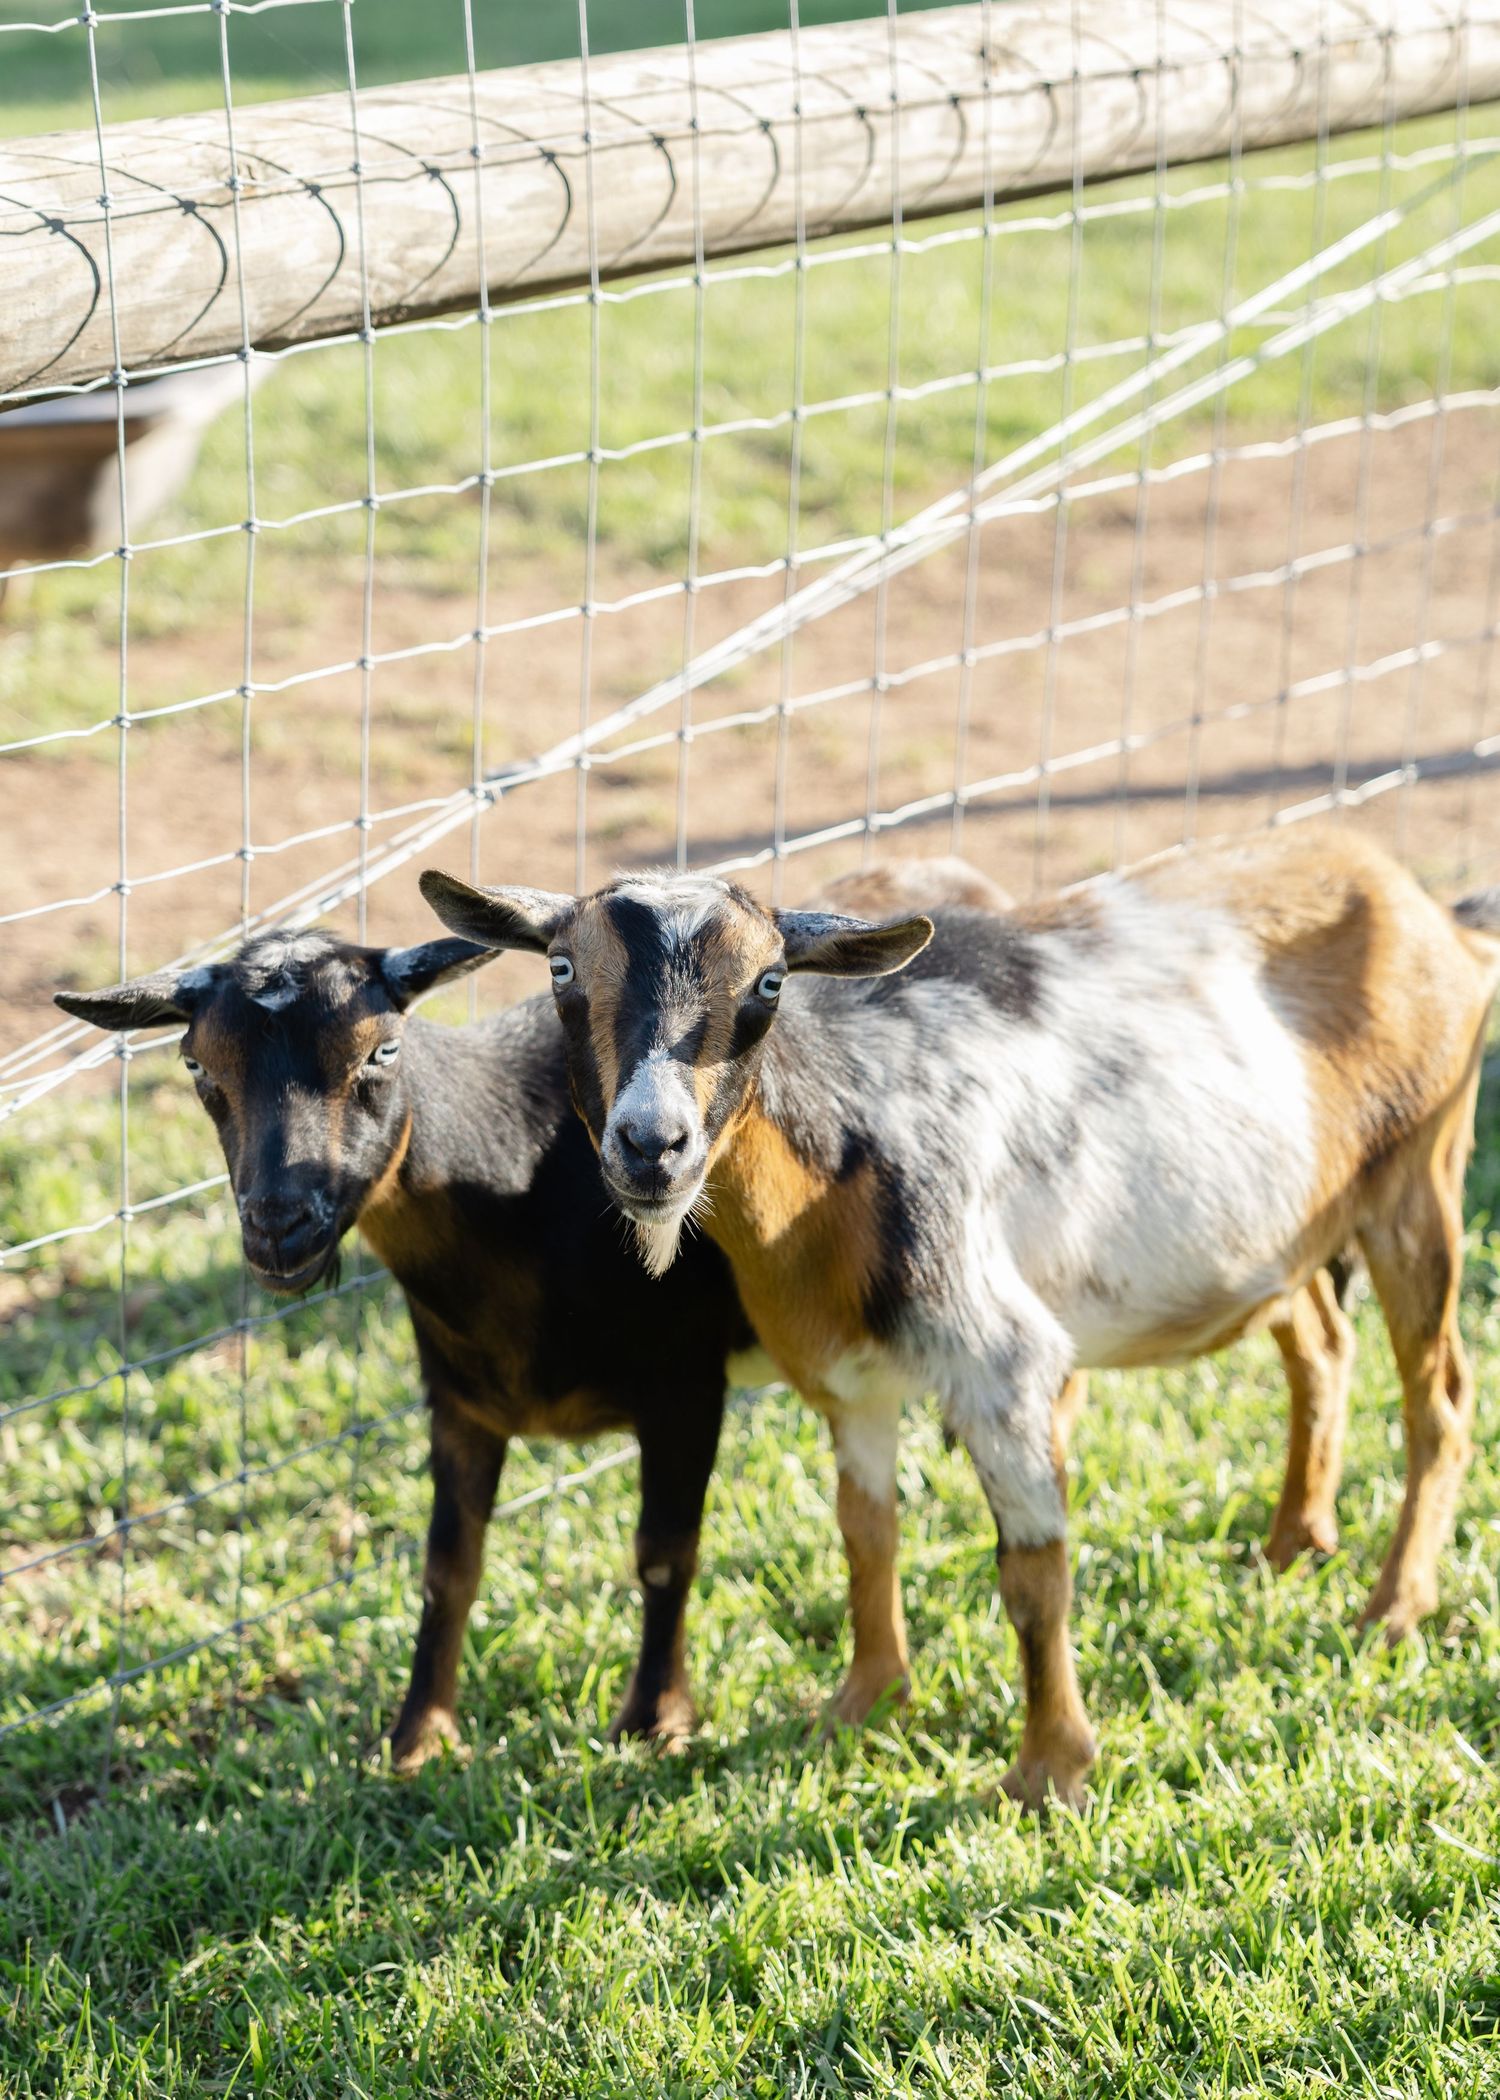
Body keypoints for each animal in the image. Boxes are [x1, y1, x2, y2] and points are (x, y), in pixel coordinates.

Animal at [421, 830, 1500, 1807]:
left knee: (1441, 1399)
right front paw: (862, 1705)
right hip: (1287, 1224)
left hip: (1421, 1176)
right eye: (561, 969)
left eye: (768, 984)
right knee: (1319, 1343)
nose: (652, 1146)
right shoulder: (849, 1376)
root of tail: (1431, 914)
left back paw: (1392, 1610)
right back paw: (1291, 1545)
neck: (847, 1141)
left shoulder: (1002, 1366)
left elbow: (1033, 1572)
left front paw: (1049, 1773)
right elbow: (866, 1531)